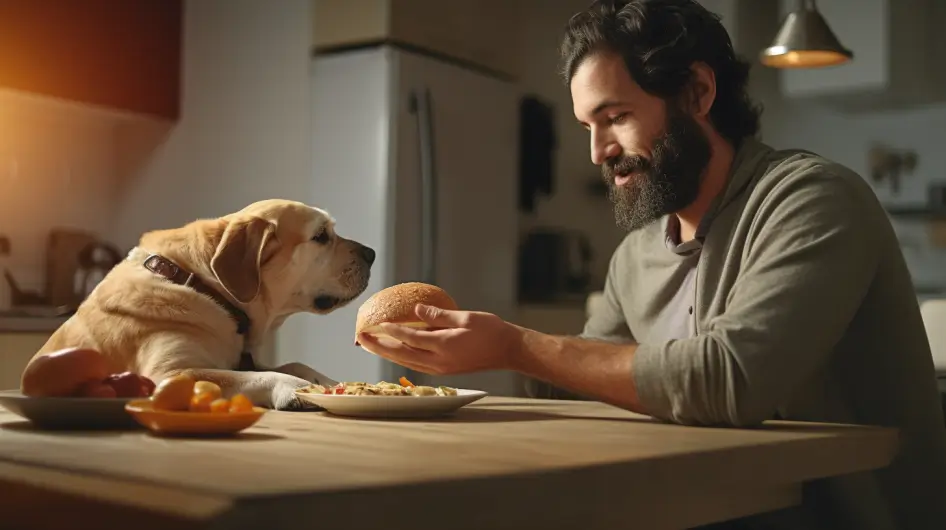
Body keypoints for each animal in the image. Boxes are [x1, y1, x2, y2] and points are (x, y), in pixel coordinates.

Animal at [32, 198, 372, 408]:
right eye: (321, 236)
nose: (372, 253)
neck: (199, 283)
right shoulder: (167, 374)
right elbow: (257, 375)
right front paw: (295, 388)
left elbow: (294, 363)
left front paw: (334, 382)